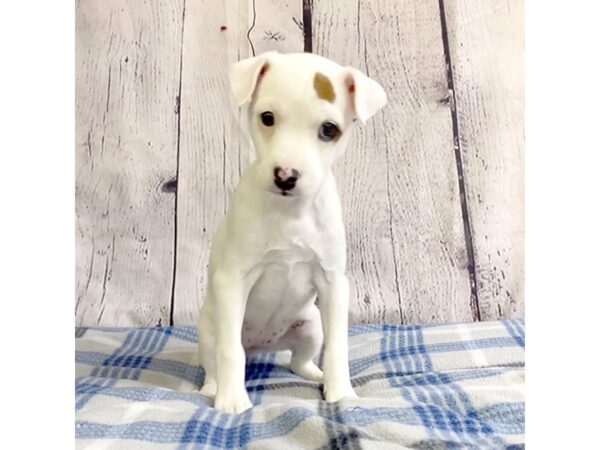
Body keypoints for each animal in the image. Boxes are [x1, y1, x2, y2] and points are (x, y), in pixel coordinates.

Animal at [195, 51, 386, 414]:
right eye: (267, 118)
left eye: (329, 129)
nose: (286, 176)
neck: (290, 211)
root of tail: (261, 344)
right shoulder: (233, 280)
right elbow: (230, 352)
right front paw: (232, 400)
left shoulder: (333, 282)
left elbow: (338, 346)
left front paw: (341, 393)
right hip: (210, 330)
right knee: (217, 359)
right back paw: (213, 388)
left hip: (310, 325)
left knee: (299, 360)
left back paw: (315, 374)